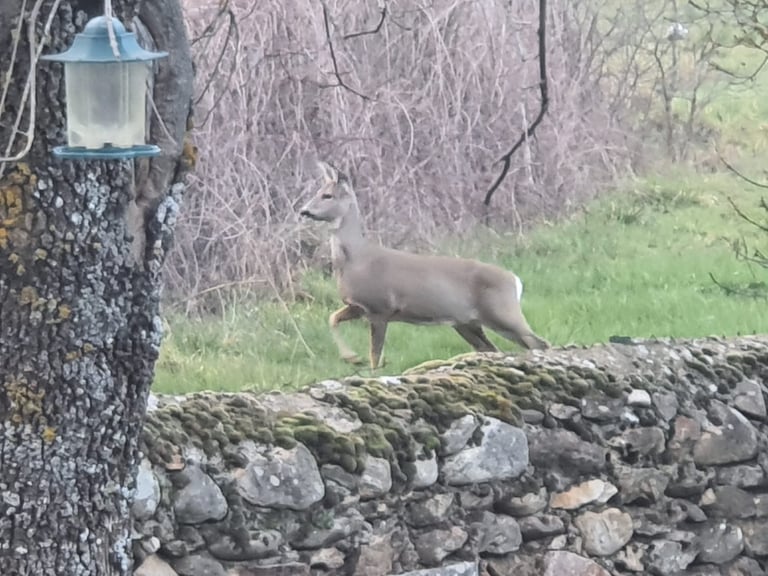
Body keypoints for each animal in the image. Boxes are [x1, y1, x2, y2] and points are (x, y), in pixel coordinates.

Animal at [299, 161, 550, 370]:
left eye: (327, 195)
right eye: (318, 192)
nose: (304, 210)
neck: (357, 260)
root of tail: (515, 280)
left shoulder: (380, 307)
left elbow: (375, 356)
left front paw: (362, 363)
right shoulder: (358, 306)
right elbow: (332, 318)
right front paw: (351, 357)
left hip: (503, 312)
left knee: (538, 343)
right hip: (467, 322)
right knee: (492, 348)